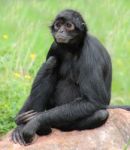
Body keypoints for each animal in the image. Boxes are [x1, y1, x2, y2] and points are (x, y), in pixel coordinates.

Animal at [11, 9, 130, 145]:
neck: (73, 49)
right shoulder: (54, 46)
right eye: (58, 25)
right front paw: (21, 124)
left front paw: (35, 121)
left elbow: (94, 101)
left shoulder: (90, 52)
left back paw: (42, 127)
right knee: (51, 62)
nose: (61, 31)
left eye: (68, 25)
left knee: (100, 115)